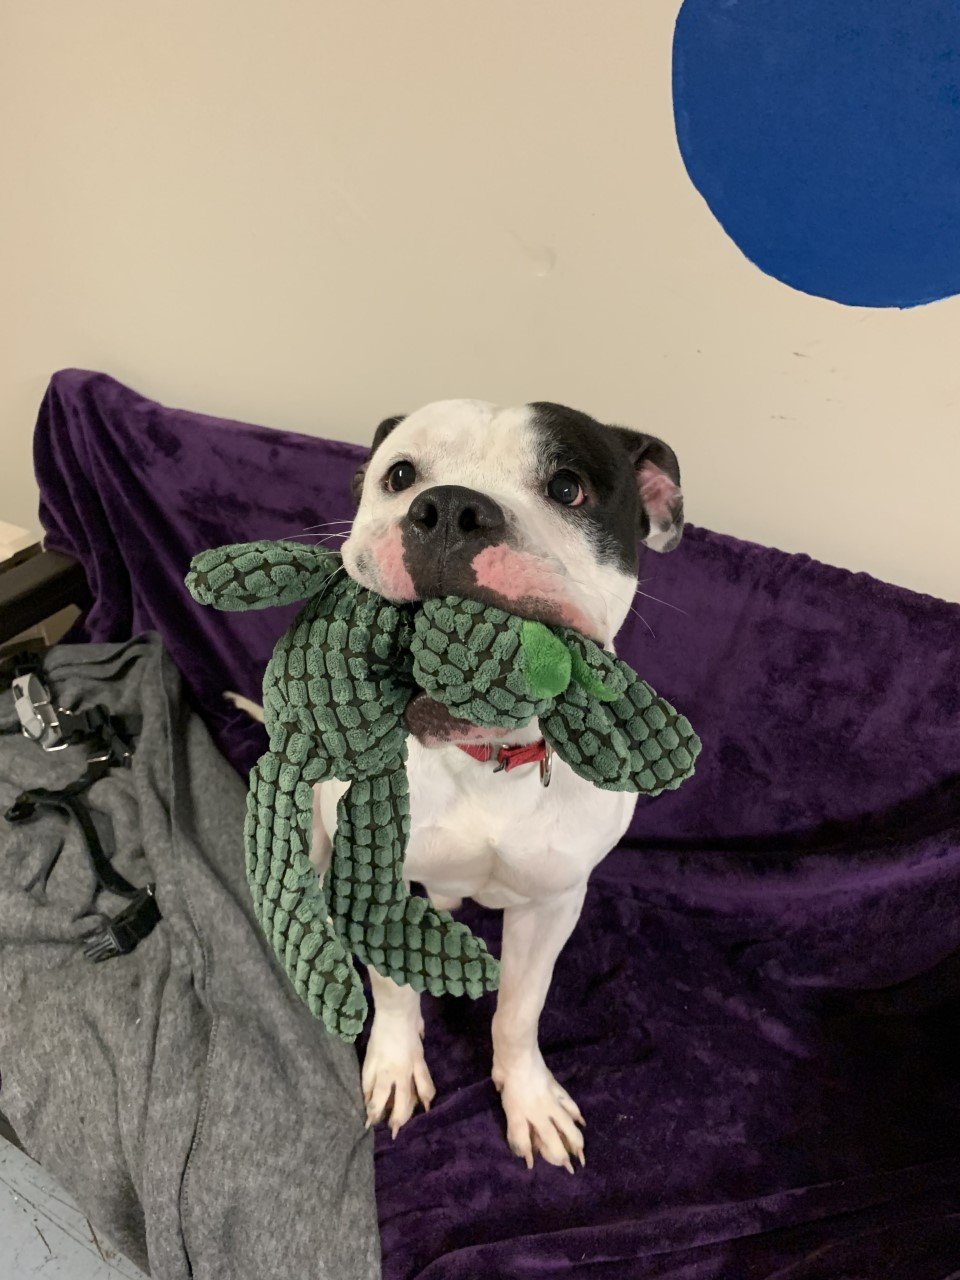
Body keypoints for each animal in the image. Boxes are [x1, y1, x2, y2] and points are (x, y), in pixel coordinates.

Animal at [238, 399, 686, 1172]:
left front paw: (528, 1097)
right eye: (400, 475)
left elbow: (519, 1011)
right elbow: (393, 990)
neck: (484, 758)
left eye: (568, 487)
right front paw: (394, 1063)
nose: (449, 509)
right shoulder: (373, 881)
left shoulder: (553, 905)